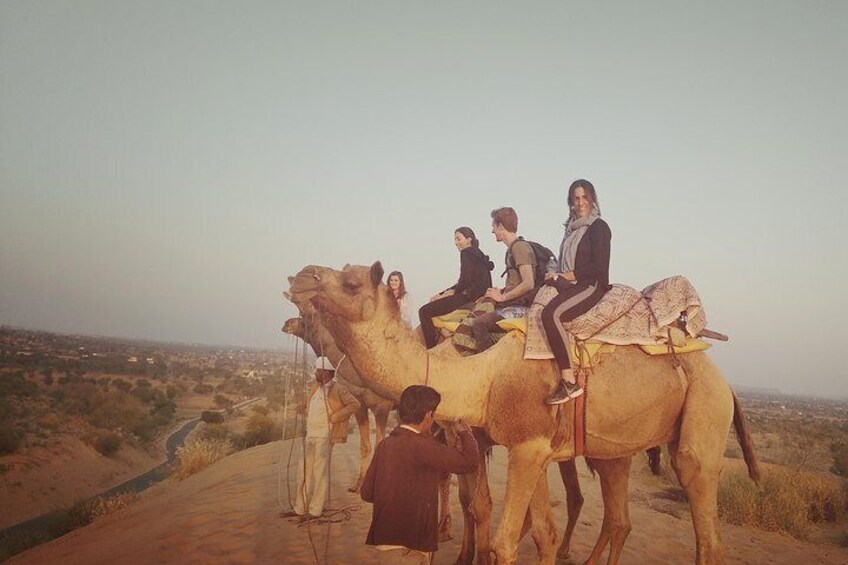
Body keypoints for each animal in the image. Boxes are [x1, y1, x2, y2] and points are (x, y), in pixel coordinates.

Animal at [282, 310, 394, 492]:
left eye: (307, 317)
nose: (287, 324)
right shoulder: (360, 406)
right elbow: (365, 446)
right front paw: (357, 486)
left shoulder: (382, 406)